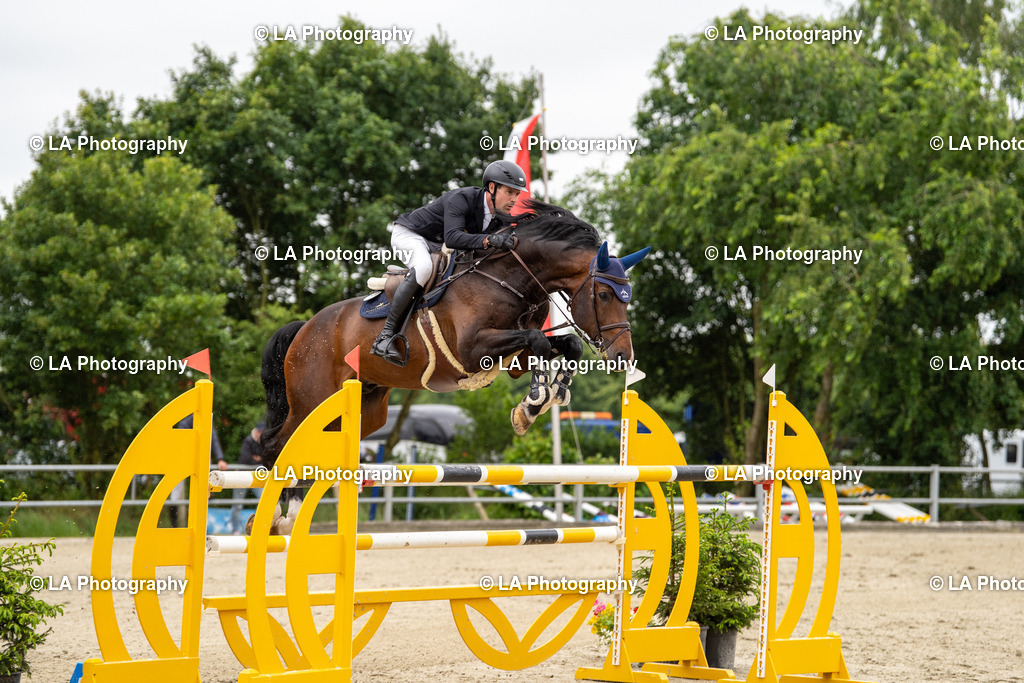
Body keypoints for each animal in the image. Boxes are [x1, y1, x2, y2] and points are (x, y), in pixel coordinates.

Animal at [257, 200, 649, 533]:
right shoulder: (473, 349)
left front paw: (545, 398)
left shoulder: (515, 359)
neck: (510, 278)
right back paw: (282, 517)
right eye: (603, 295)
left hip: (366, 410)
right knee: (278, 444)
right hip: (311, 400)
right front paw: (534, 404)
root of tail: (304, 328)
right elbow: (539, 342)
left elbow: (564, 346)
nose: (622, 357)